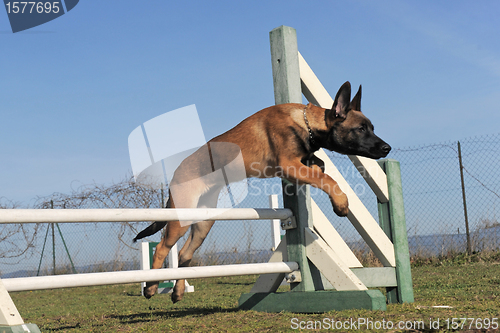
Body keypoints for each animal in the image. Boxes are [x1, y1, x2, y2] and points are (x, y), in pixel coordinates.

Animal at [133, 80, 390, 300]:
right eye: (361, 129)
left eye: (372, 128)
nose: (387, 148)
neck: (306, 123)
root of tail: (176, 172)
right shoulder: (288, 165)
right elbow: (327, 178)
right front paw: (341, 203)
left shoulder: (298, 164)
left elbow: (320, 167)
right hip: (180, 219)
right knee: (162, 249)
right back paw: (151, 286)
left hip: (203, 223)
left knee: (185, 254)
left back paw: (177, 292)